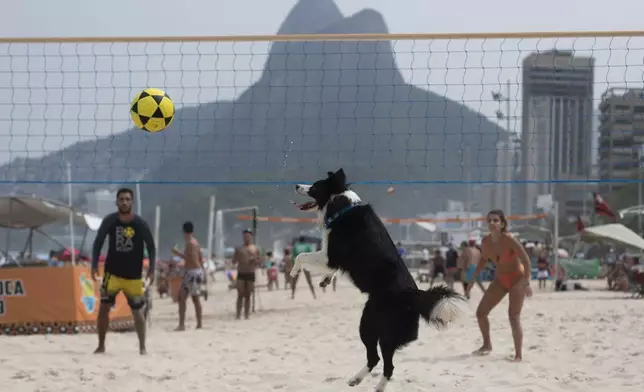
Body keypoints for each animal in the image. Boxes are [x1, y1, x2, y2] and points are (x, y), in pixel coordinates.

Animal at [290, 169, 462, 392]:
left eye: (315, 186)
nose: (296, 186)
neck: (342, 207)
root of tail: (415, 296)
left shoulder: (331, 256)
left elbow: (301, 256)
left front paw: (294, 271)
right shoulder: (331, 259)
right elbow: (328, 269)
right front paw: (326, 280)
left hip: (372, 327)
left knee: (383, 362)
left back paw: (373, 385)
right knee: (378, 360)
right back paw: (357, 380)